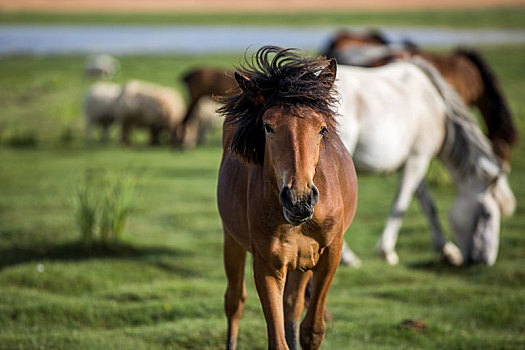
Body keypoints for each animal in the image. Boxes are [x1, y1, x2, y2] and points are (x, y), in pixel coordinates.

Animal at [216, 47, 356, 350]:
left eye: (322, 128)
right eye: (268, 127)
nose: (299, 199)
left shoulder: (330, 255)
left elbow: (311, 330)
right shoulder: (266, 265)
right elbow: (277, 339)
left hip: (302, 261)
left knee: (292, 306)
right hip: (232, 241)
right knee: (234, 302)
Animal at [334, 59, 512, 266]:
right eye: (488, 215)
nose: (484, 261)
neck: (436, 106)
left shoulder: (413, 162)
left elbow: (429, 206)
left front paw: (446, 250)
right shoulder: (418, 159)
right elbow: (400, 205)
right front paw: (386, 251)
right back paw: (347, 256)